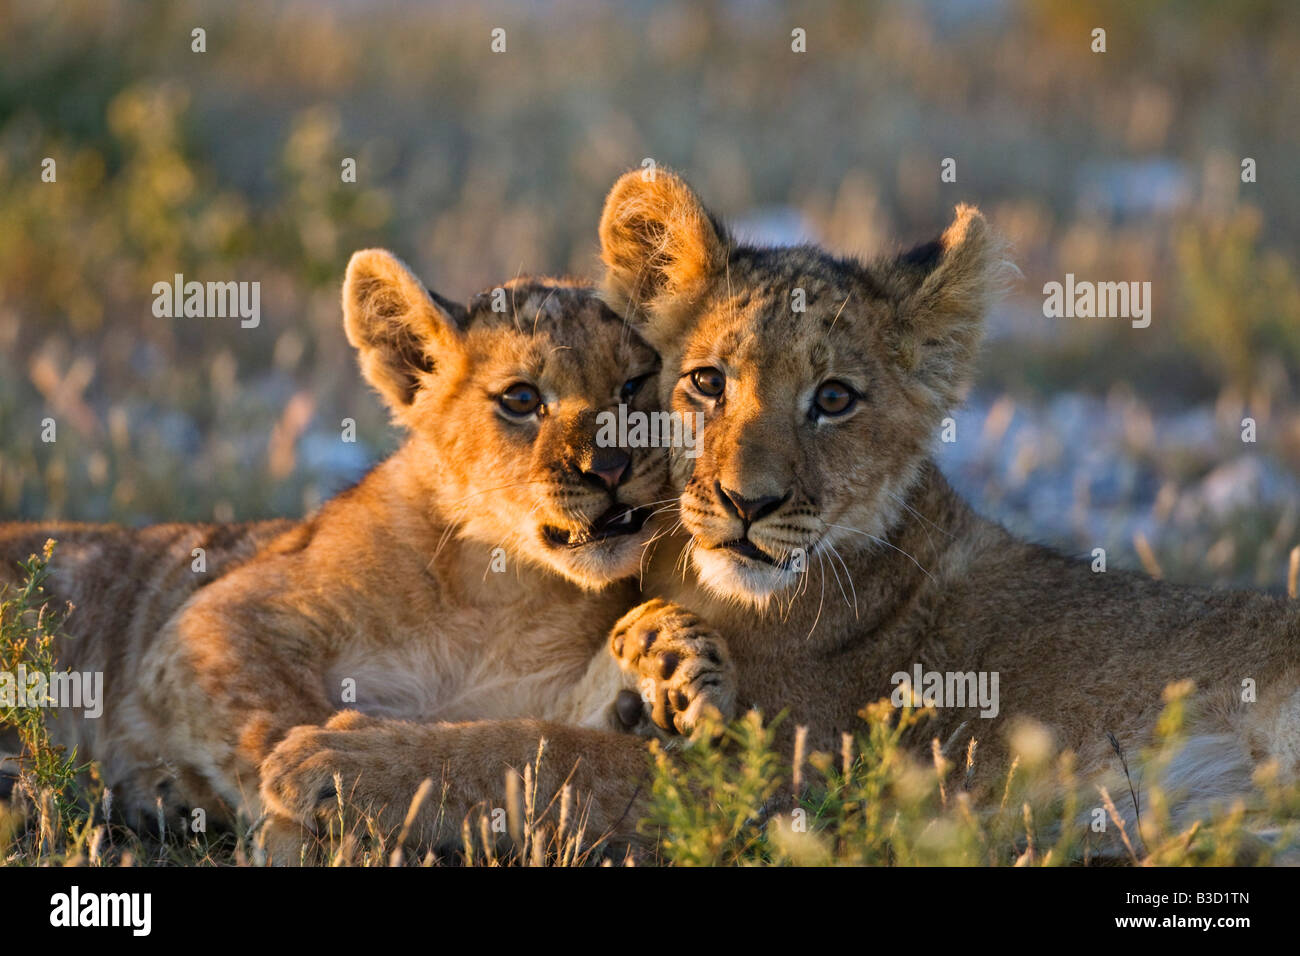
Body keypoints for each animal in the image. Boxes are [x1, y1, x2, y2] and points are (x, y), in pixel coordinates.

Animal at [0, 249, 734, 852]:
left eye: (635, 385)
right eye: (522, 398)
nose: (609, 467)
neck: (496, 590)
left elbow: (537, 744)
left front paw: (662, 662)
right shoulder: (209, 621)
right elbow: (277, 717)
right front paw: (316, 793)